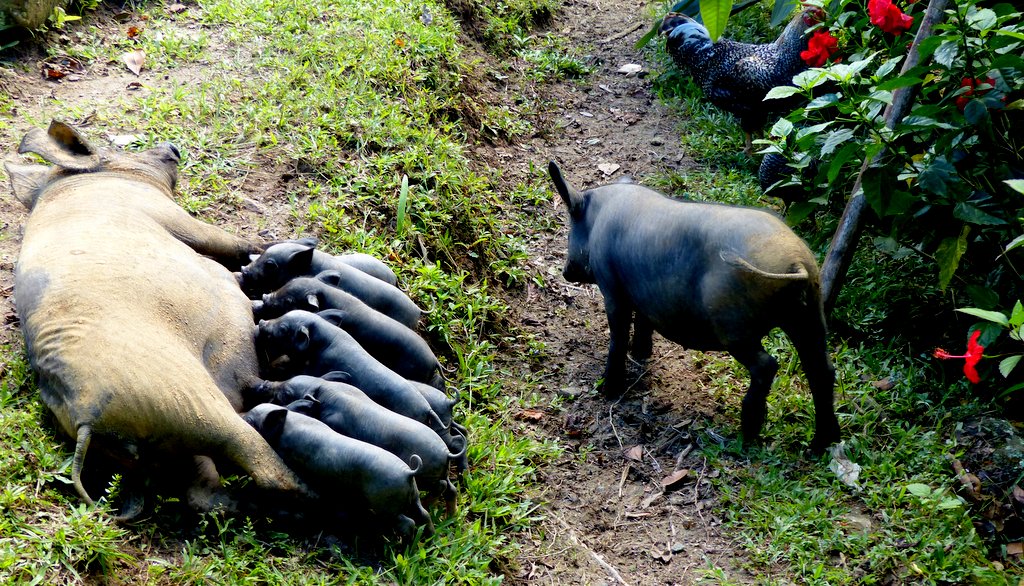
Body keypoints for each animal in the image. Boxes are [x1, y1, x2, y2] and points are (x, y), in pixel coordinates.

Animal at [5, 121, 306, 515]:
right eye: (115, 149)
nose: (172, 146)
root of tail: (85, 417)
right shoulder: (169, 214)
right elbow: (228, 240)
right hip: (187, 399)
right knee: (260, 464)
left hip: (168, 440)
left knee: (201, 491)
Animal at [243, 403, 433, 539]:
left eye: (250, 420)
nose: (242, 416)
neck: (286, 429)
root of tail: (408, 473)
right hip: (413, 496)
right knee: (424, 514)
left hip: (386, 505)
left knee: (408, 523)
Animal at [261, 375, 463, 513]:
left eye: (287, 392)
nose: (265, 384)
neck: (327, 392)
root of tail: (445, 452)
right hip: (440, 474)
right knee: (451, 488)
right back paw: (450, 514)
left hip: (428, 476)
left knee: (441, 487)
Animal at [549, 161, 841, 452]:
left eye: (571, 229)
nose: (565, 272)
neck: (599, 216)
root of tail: (796, 263)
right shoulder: (643, 292)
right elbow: (643, 322)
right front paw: (641, 354)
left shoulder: (612, 288)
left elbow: (617, 338)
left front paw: (607, 391)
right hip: (810, 314)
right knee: (822, 370)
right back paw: (822, 444)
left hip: (735, 326)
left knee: (767, 365)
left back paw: (747, 435)